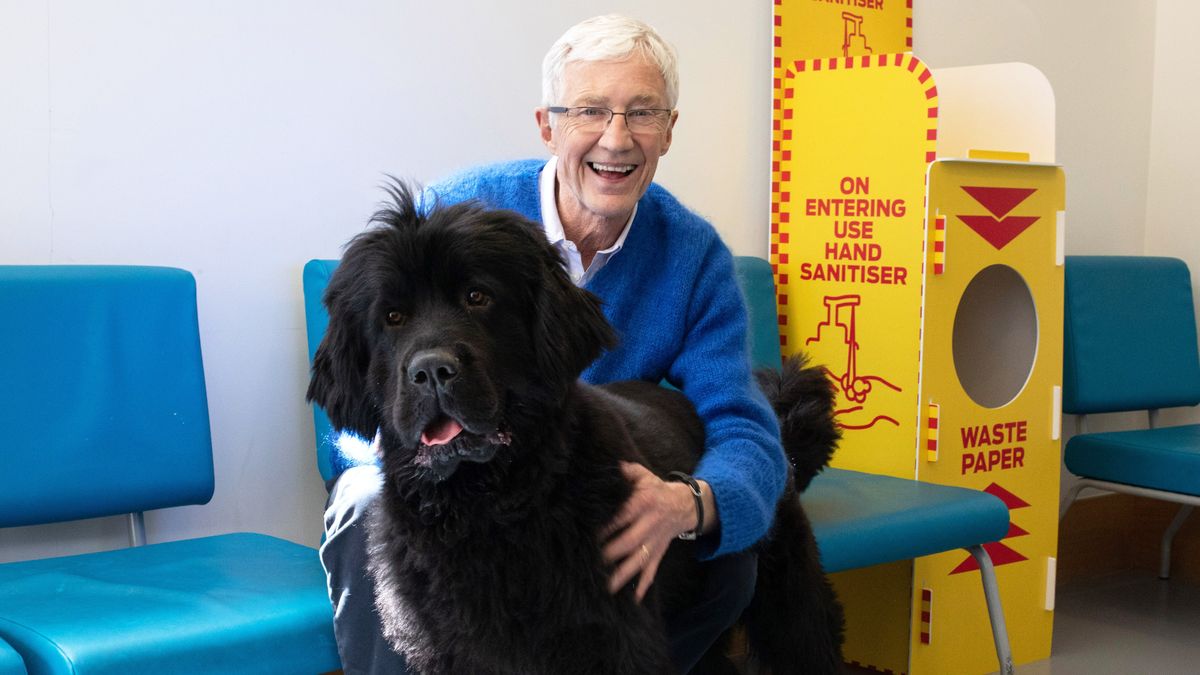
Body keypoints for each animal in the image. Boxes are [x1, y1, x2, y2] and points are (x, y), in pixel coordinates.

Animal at [314, 183, 849, 672]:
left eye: (477, 296)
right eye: (392, 317)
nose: (431, 370)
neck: (488, 504)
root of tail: (772, 421)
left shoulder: (608, 639)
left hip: (787, 596)